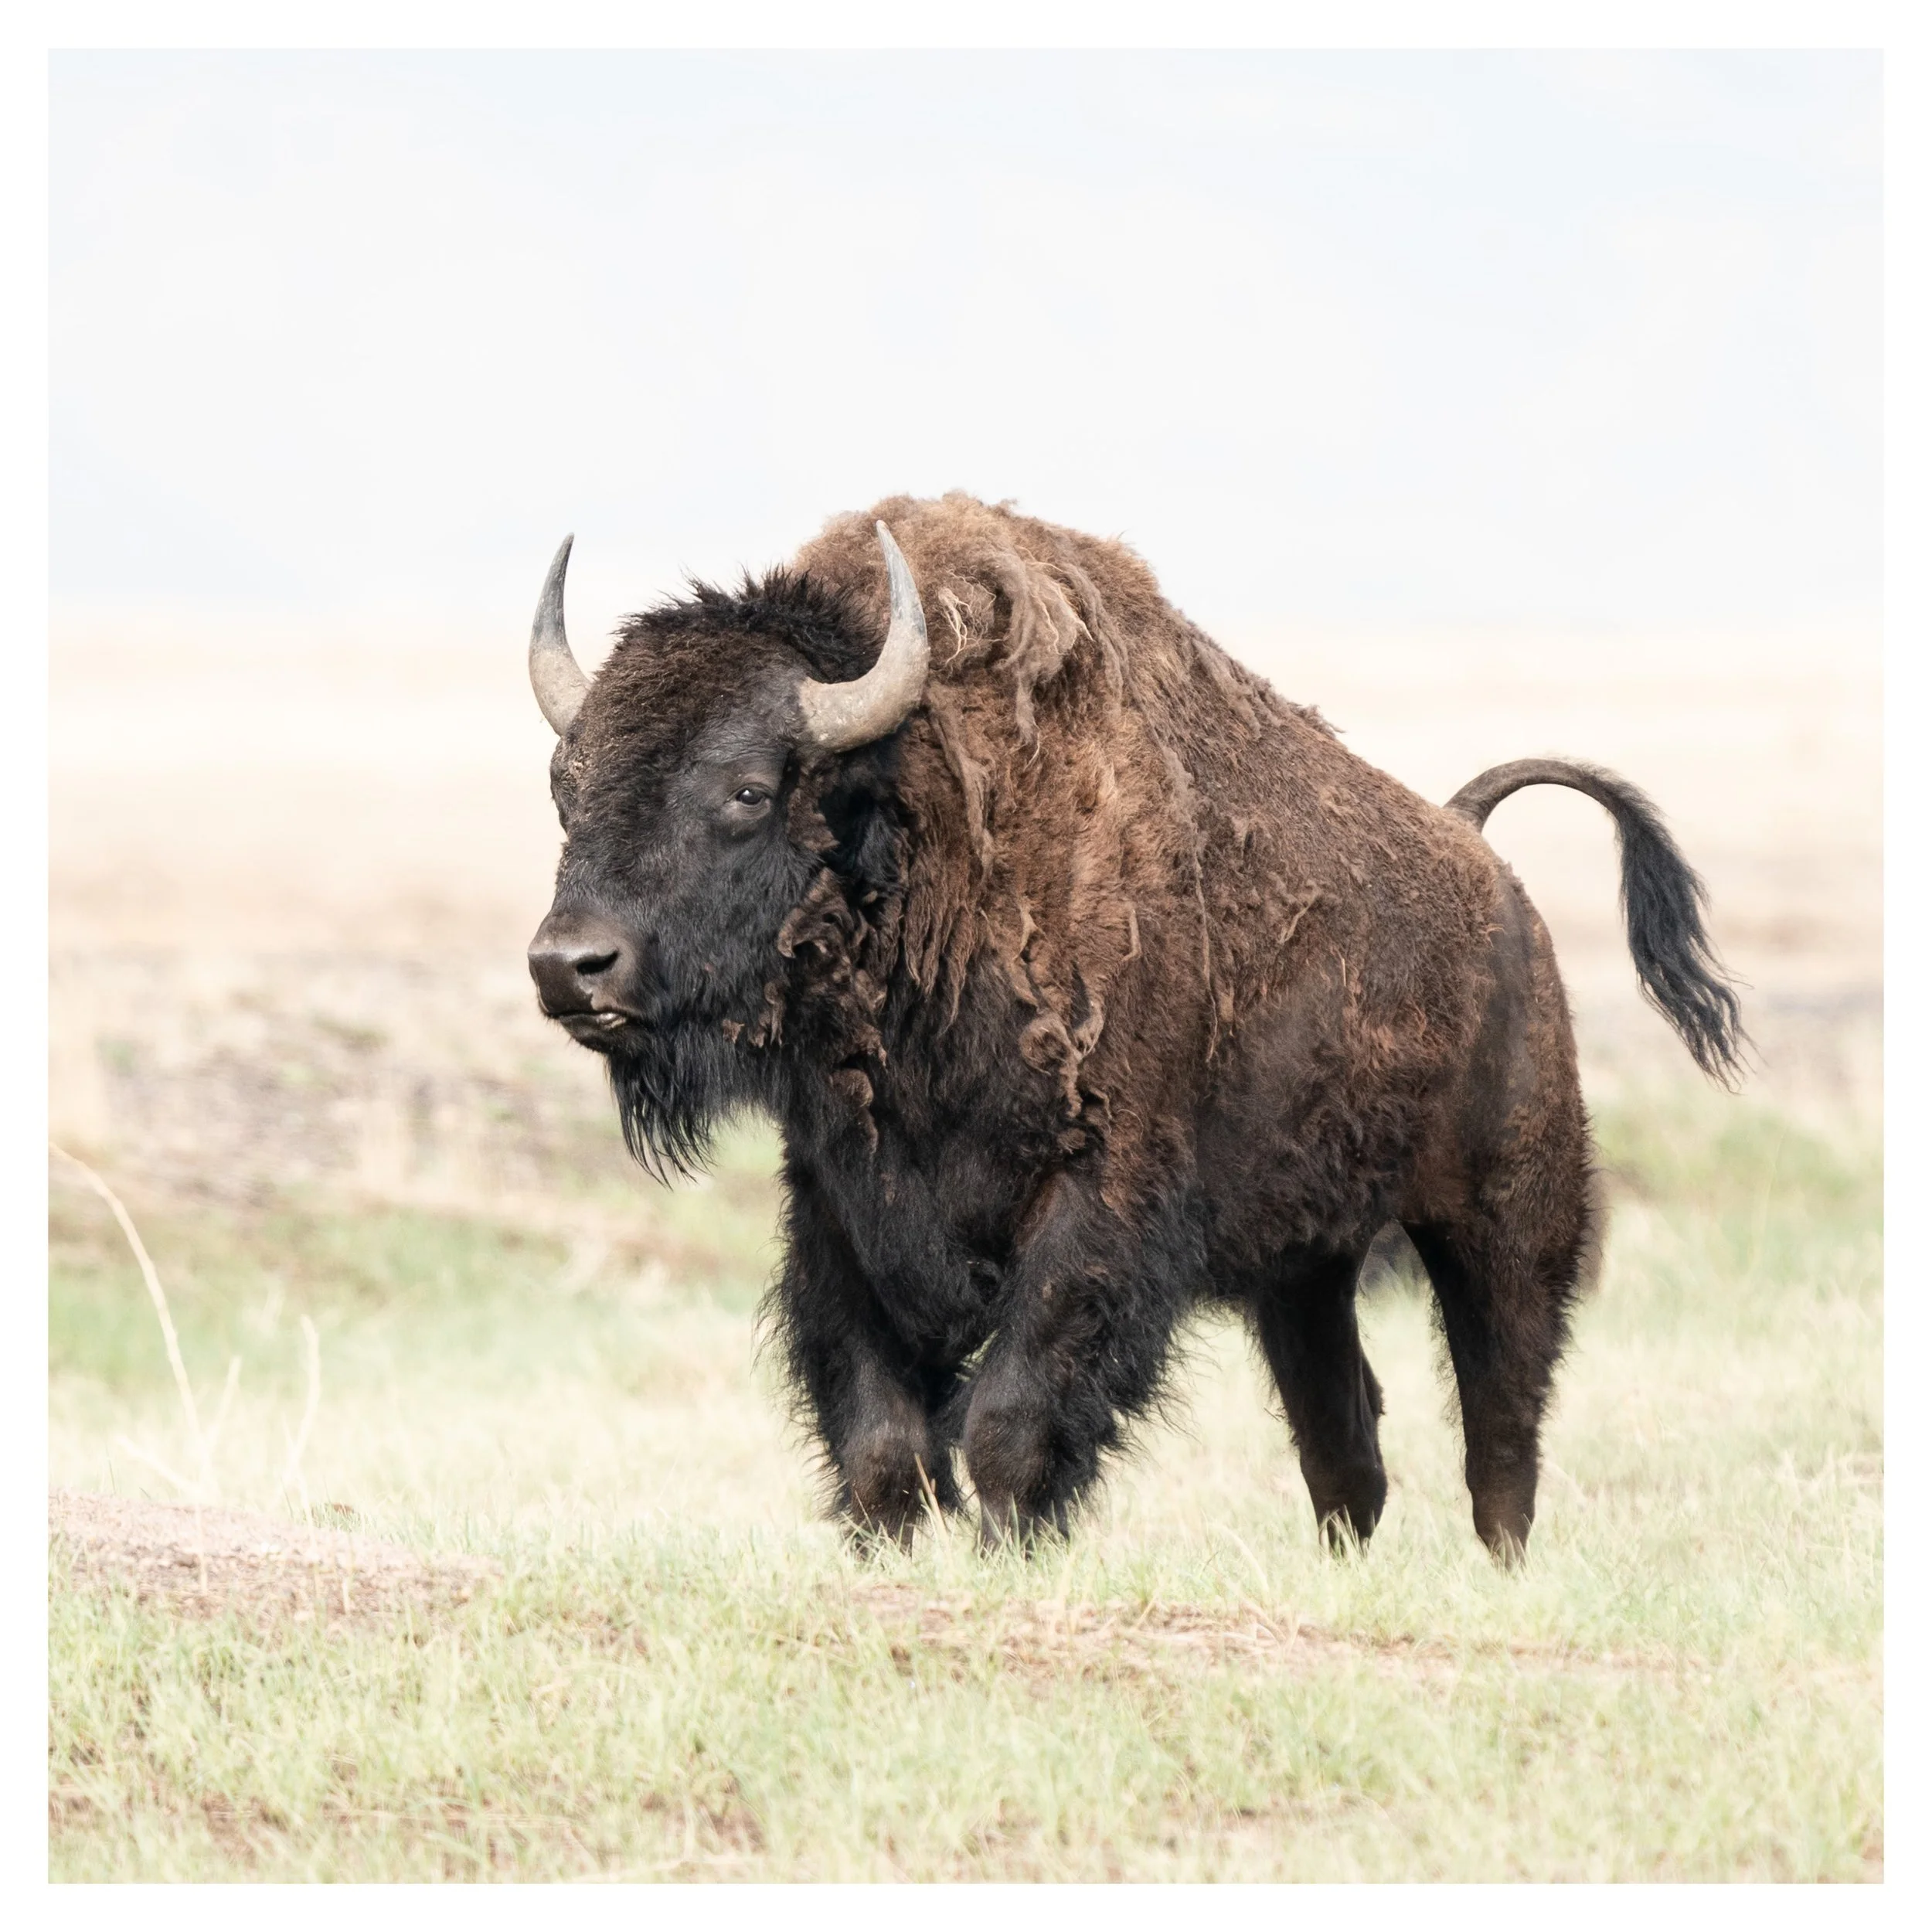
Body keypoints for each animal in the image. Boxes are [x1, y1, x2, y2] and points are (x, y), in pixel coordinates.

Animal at [525, 494, 1742, 1561]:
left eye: (745, 789)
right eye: (564, 786)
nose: (568, 965)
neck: (928, 830)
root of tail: (1484, 863)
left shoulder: (1093, 1205)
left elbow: (1009, 1422)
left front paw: (1007, 1557)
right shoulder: (841, 1211)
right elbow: (881, 1444)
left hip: (1503, 1221)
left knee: (1501, 1419)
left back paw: (1500, 1568)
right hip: (1304, 1271)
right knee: (1345, 1441)